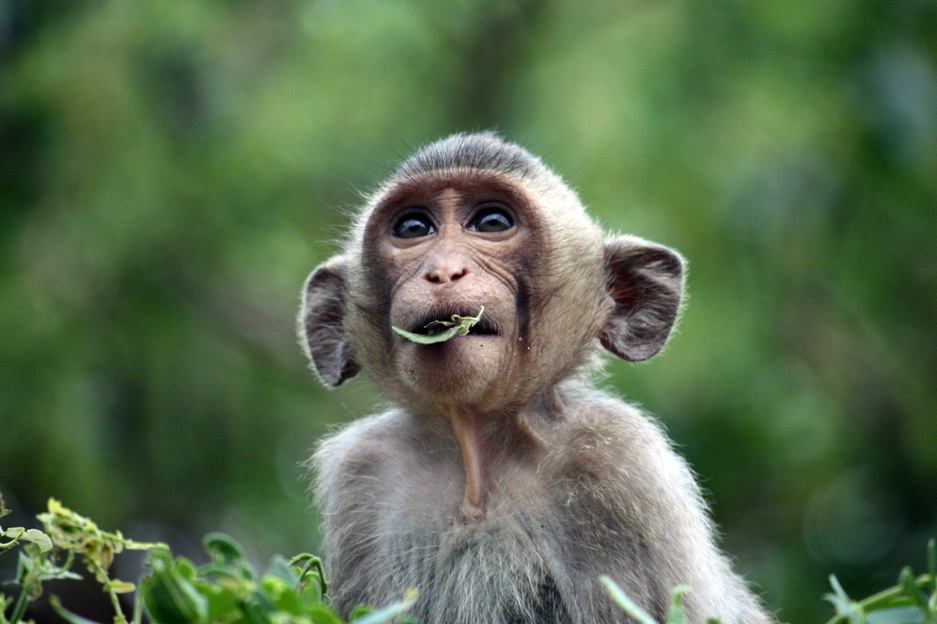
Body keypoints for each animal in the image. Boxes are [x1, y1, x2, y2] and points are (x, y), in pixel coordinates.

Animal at [300, 133, 776, 624]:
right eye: (414, 228)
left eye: (492, 222)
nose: (443, 270)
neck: (477, 464)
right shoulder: (363, 474)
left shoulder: (621, 470)